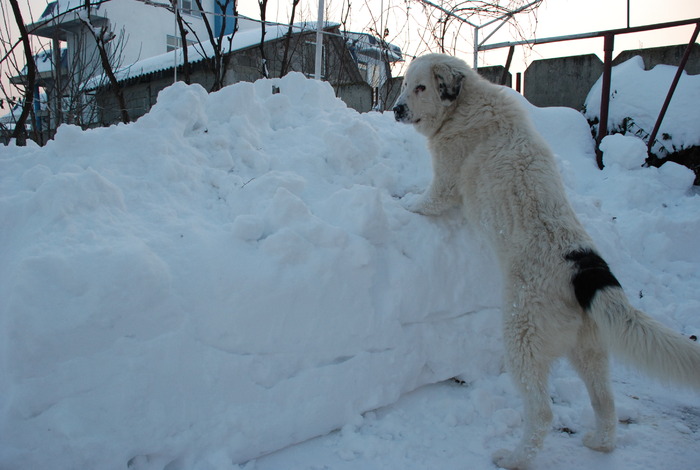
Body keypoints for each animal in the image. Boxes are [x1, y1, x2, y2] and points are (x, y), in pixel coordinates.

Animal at [392, 53, 700, 468]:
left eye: (420, 87)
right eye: (406, 85)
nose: (396, 109)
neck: (465, 106)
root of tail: (585, 268)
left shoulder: (447, 181)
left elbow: (426, 200)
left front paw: (404, 201)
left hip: (522, 336)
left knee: (542, 413)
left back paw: (514, 457)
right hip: (589, 350)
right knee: (605, 401)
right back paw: (600, 444)